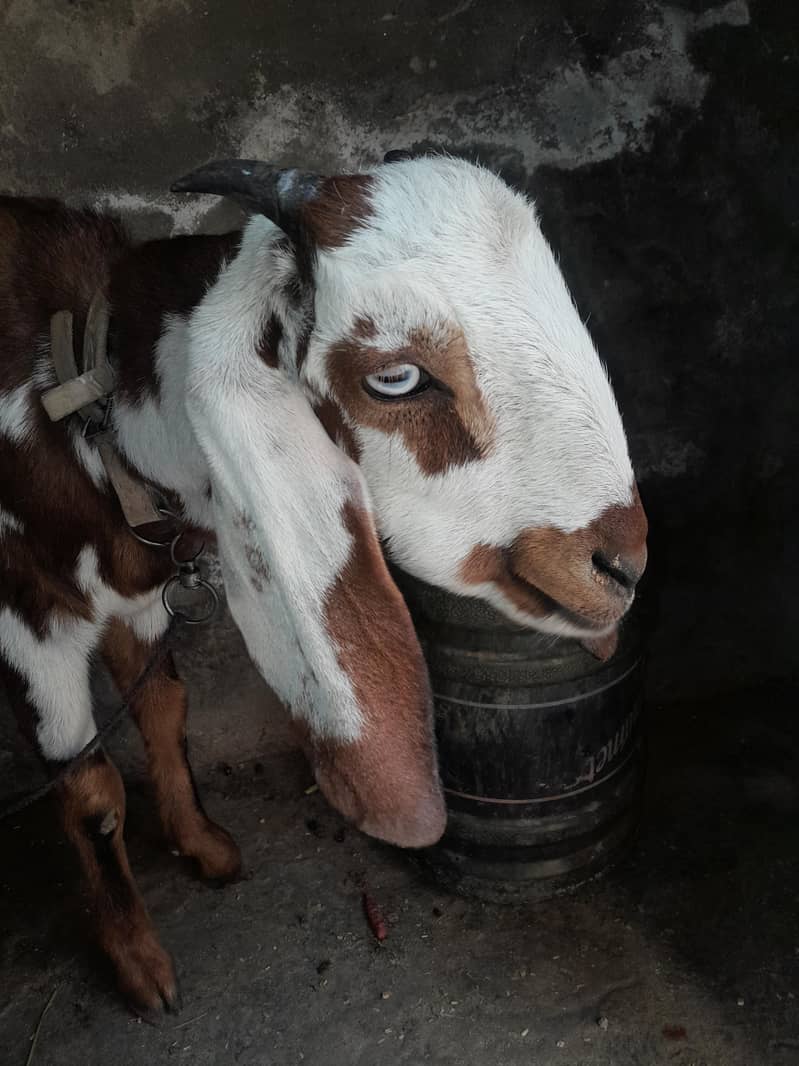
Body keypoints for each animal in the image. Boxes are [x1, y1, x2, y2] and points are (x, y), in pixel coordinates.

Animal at [0, 154, 648, 1014]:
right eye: (397, 377)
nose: (622, 563)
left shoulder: (135, 602)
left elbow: (165, 708)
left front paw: (202, 844)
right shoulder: (28, 622)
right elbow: (93, 794)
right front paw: (140, 964)